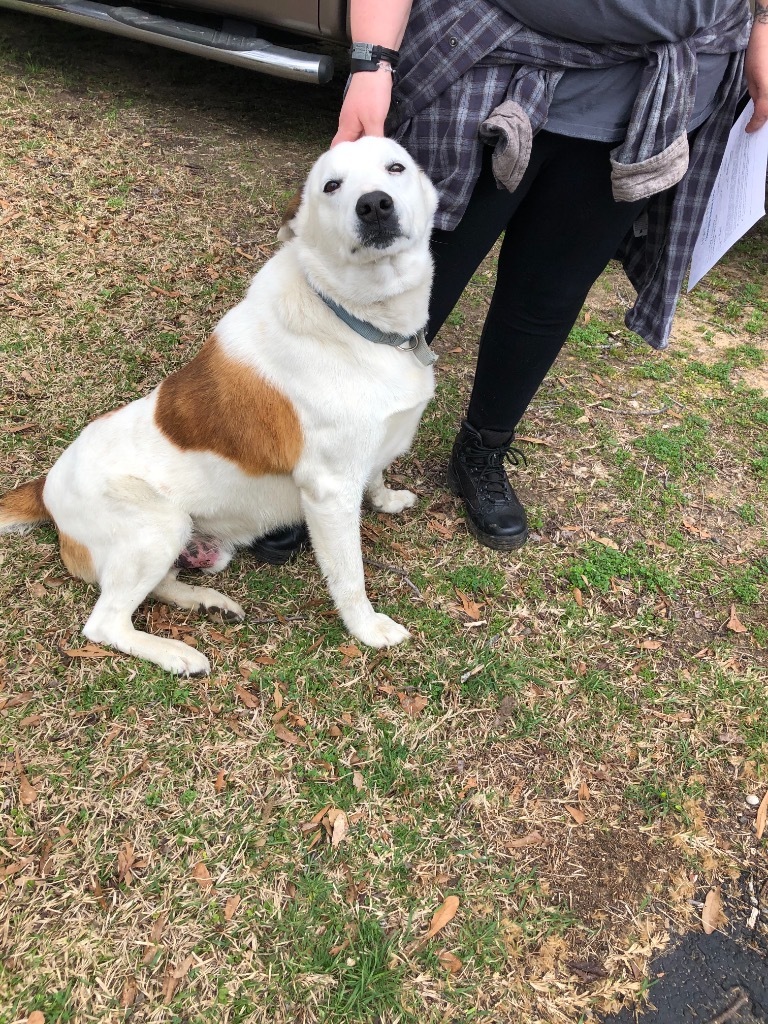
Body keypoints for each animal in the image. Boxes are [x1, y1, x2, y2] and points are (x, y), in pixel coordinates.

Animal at [0, 138, 438, 679]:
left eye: (395, 167)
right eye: (332, 186)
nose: (374, 204)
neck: (354, 316)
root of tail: (45, 487)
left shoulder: (366, 453)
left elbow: (375, 475)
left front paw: (387, 498)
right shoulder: (329, 492)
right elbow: (349, 577)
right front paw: (367, 629)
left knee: (155, 589)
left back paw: (205, 600)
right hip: (158, 526)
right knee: (104, 623)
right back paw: (176, 653)